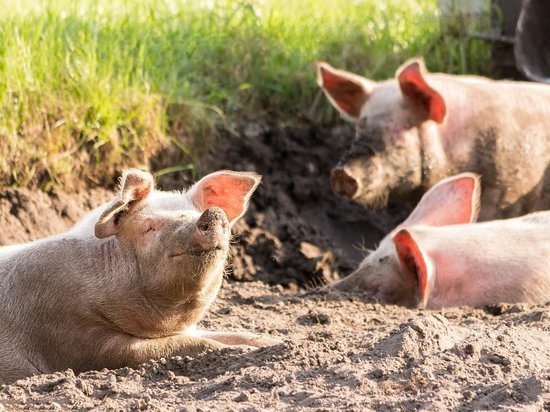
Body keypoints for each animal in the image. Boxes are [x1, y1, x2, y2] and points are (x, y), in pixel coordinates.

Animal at [0, 168, 278, 386]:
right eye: (149, 227)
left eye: (193, 211)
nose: (212, 213)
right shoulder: (73, 335)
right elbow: (188, 345)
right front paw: (241, 350)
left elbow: (231, 334)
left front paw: (274, 342)